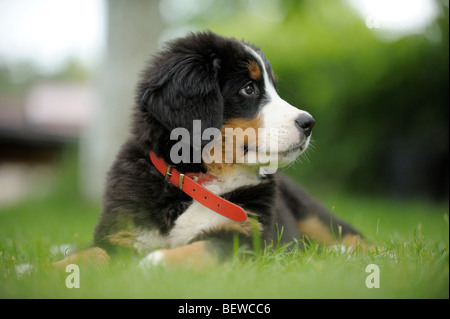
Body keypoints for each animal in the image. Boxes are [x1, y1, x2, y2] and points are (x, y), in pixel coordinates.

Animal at [54, 30, 362, 270]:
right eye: (249, 89)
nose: (309, 123)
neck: (197, 180)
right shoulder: (121, 231)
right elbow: (92, 253)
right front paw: (49, 268)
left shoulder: (243, 236)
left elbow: (202, 248)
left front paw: (153, 263)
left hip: (313, 215)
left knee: (355, 238)